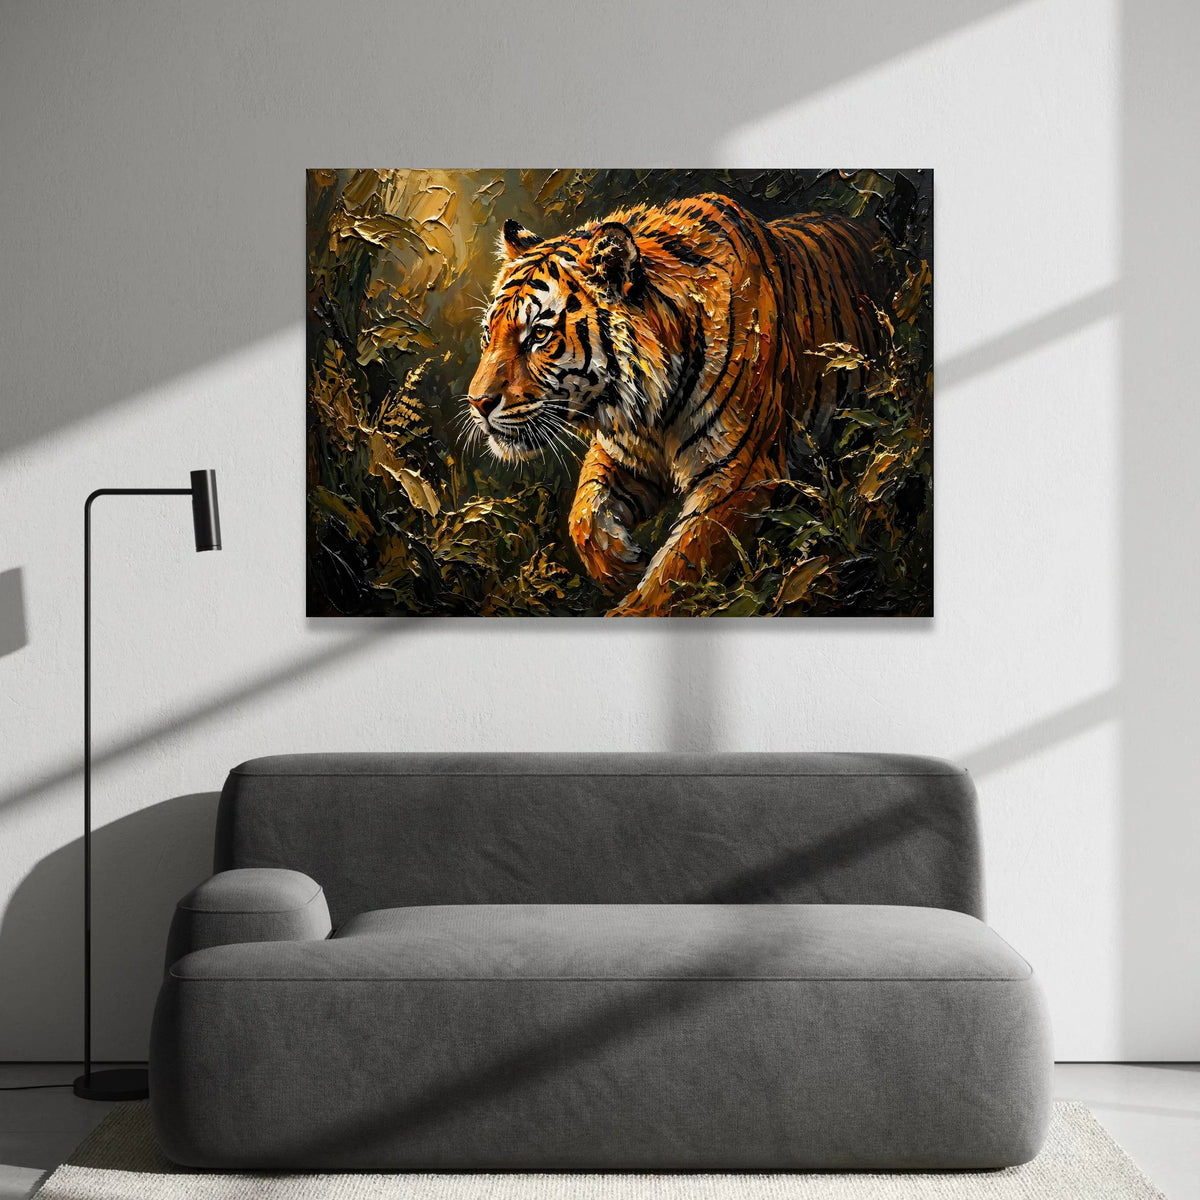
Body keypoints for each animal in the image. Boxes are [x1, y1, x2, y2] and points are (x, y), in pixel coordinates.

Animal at [465, 192, 886, 616]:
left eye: (538, 334)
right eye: (487, 333)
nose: (478, 403)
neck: (652, 406)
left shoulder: (739, 472)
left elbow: (679, 565)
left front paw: (633, 602)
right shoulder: (623, 454)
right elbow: (582, 514)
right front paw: (621, 566)